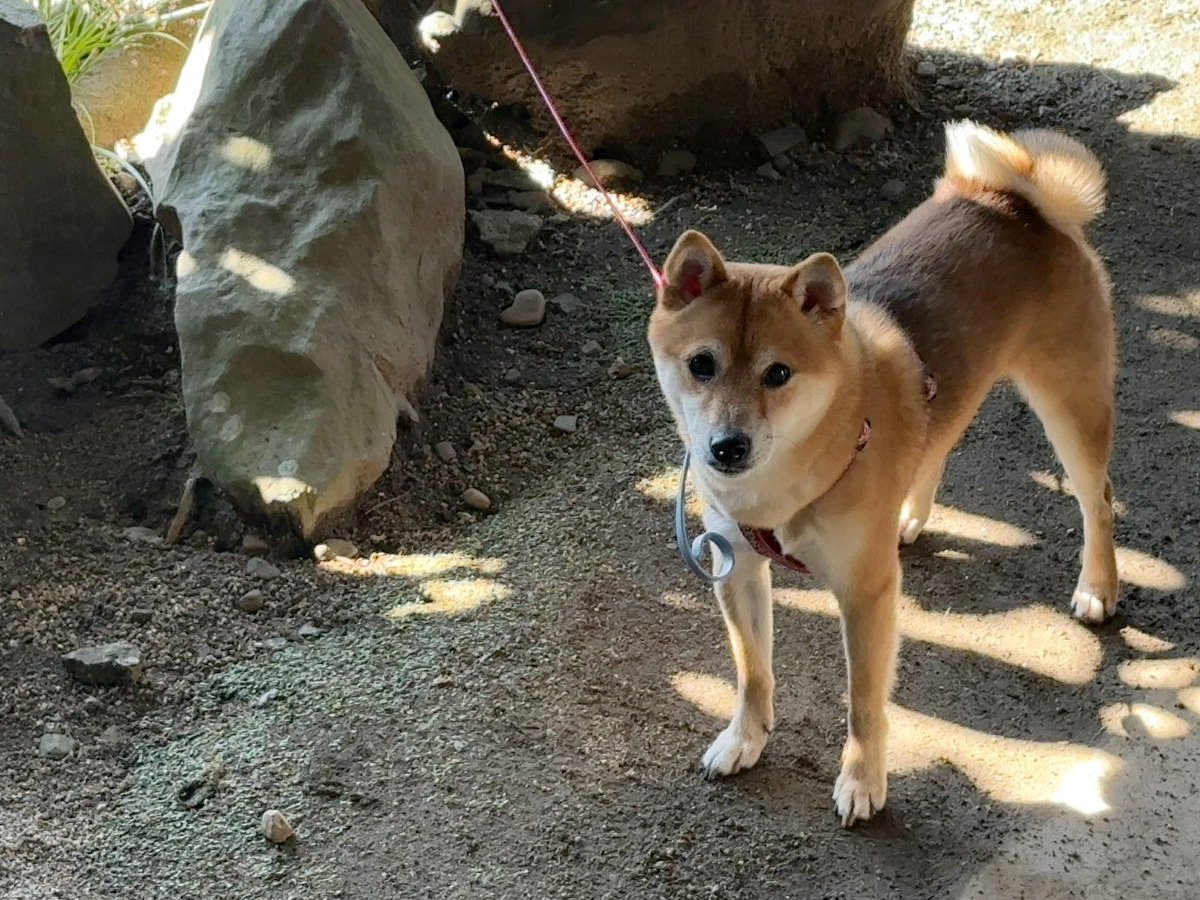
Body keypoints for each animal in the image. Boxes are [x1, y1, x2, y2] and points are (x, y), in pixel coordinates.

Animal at [652, 123, 1118, 830]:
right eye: (701, 364)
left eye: (778, 374)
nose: (726, 447)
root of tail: (1011, 197)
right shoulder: (737, 569)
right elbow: (752, 673)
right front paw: (744, 740)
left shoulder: (866, 594)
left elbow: (863, 703)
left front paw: (862, 781)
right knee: (937, 445)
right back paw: (910, 516)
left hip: (1070, 408)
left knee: (1098, 500)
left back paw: (1098, 586)